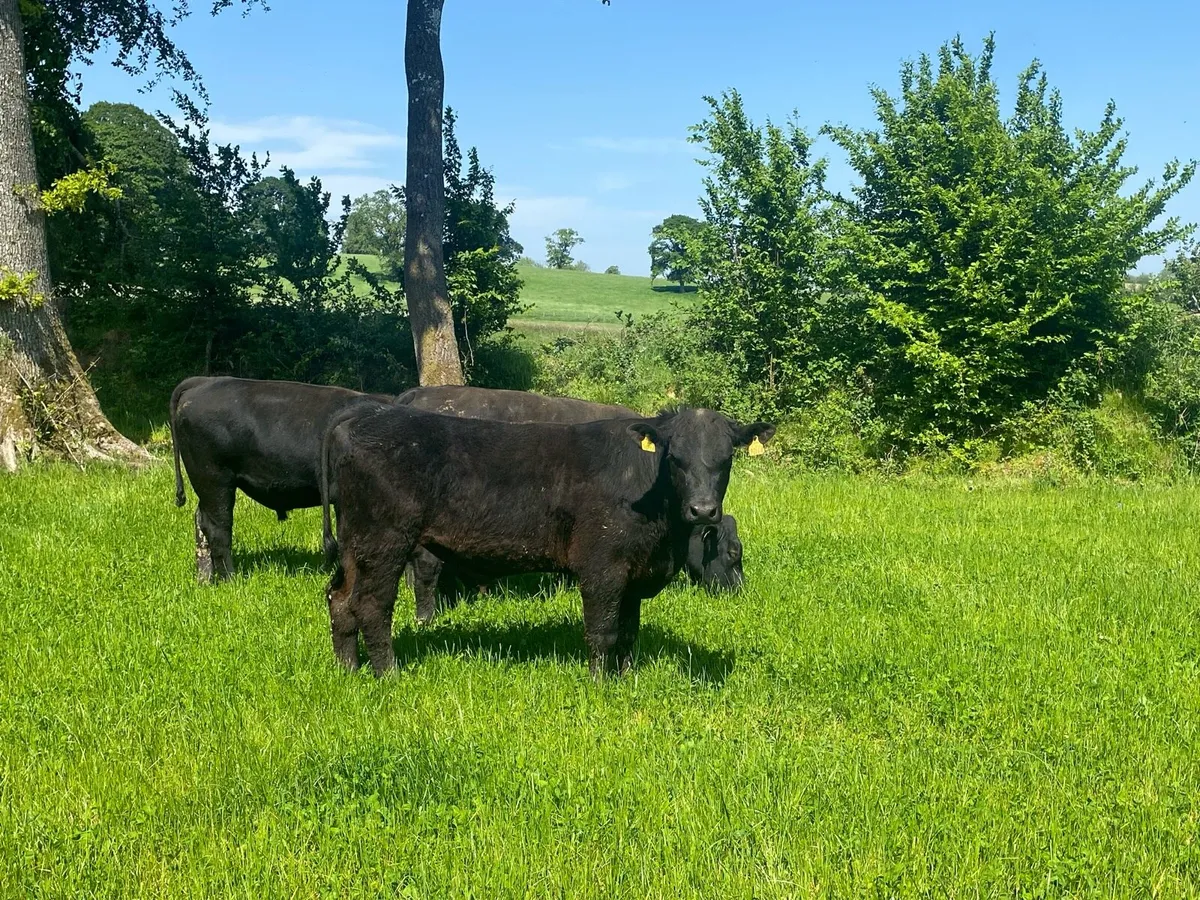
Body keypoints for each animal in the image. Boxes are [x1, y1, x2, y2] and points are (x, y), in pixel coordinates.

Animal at [170, 376, 391, 582]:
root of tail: (204, 381)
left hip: (207, 485)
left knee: (201, 522)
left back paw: (206, 578)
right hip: (215, 480)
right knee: (218, 527)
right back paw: (230, 579)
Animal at [323, 405, 773, 677]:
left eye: (726, 459)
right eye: (675, 458)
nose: (703, 510)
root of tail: (358, 420)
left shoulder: (634, 571)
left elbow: (629, 631)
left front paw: (626, 678)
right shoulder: (601, 566)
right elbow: (604, 630)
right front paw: (600, 684)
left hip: (355, 545)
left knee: (339, 598)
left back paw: (348, 668)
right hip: (385, 540)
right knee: (371, 605)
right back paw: (388, 674)